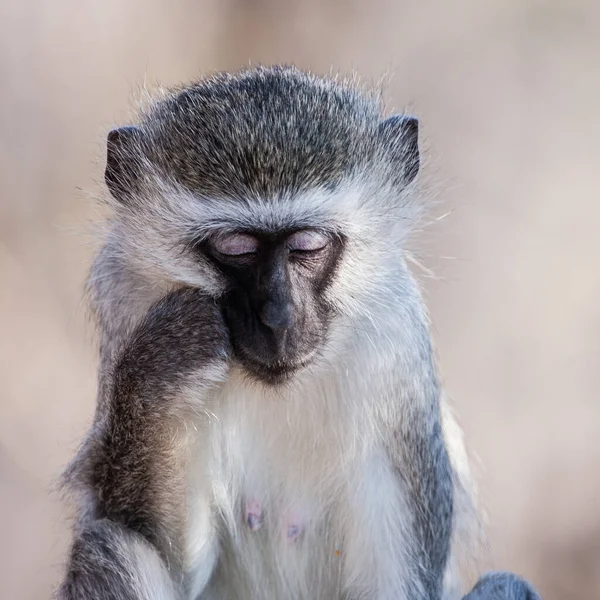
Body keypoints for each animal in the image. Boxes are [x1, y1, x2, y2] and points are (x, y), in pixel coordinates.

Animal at [57, 64, 540, 600]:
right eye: (237, 247)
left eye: (308, 245)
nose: (279, 316)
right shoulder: (125, 301)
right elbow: (174, 556)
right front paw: (163, 362)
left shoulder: (399, 363)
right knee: (107, 548)